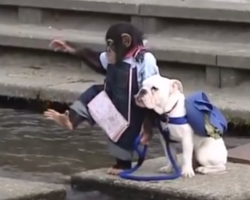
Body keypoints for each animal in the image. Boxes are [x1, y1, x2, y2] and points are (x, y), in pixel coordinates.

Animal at [43, 22, 159, 175]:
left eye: (110, 43)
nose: (108, 50)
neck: (128, 56)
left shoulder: (147, 63)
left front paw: (147, 133)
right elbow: (100, 63)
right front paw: (67, 46)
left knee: (125, 138)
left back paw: (122, 166)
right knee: (94, 92)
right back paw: (67, 120)